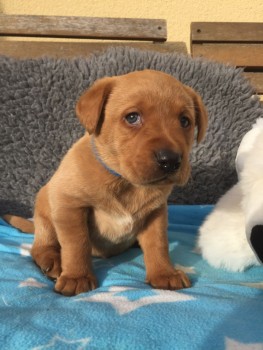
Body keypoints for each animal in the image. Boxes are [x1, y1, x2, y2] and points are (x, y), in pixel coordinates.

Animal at [9, 69, 208, 296]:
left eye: (185, 121)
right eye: (132, 117)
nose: (171, 160)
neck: (125, 182)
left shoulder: (155, 212)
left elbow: (158, 244)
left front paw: (164, 273)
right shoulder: (69, 206)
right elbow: (76, 244)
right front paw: (77, 276)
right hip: (45, 214)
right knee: (41, 246)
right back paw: (52, 261)